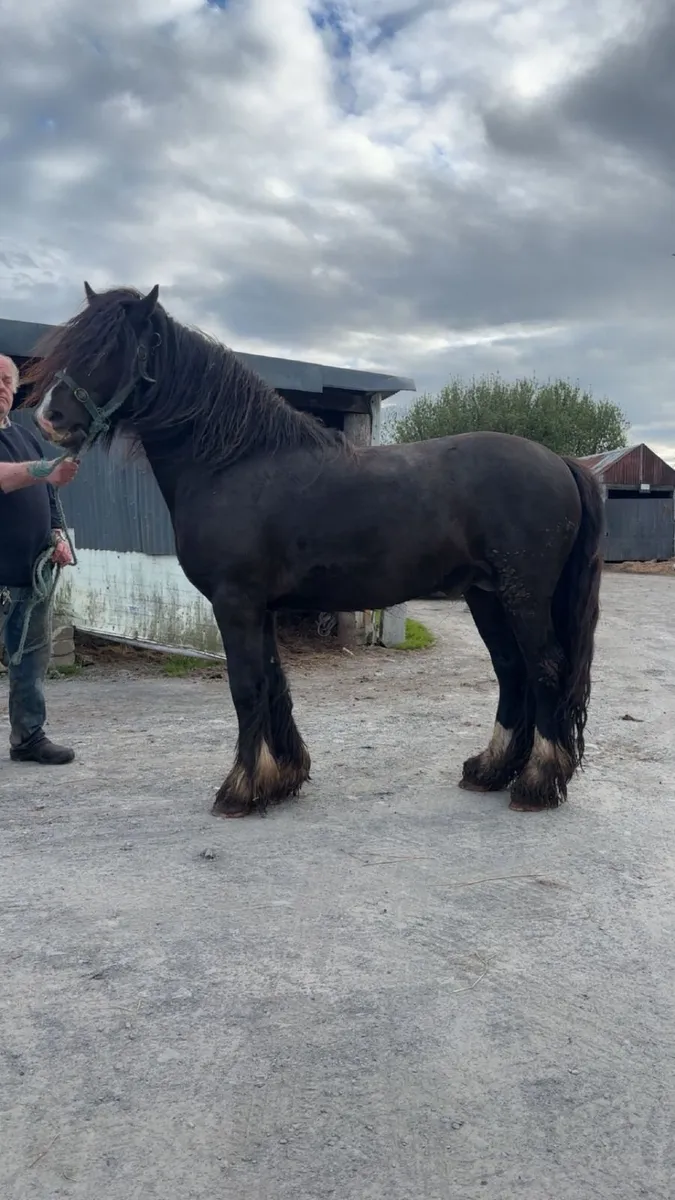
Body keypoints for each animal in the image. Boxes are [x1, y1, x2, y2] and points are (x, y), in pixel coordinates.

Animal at [23, 283, 604, 818]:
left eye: (111, 350)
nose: (50, 417)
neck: (233, 465)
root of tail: (560, 462)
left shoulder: (235, 604)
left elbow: (247, 687)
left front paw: (239, 791)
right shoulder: (259, 608)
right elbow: (274, 683)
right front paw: (281, 778)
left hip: (523, 596)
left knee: (544, 669)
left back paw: (536, 783)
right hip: (486, 594)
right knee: (512, 670)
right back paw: (491, 771)